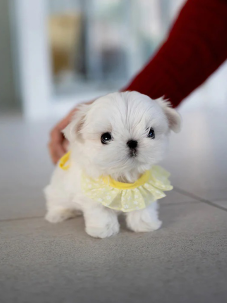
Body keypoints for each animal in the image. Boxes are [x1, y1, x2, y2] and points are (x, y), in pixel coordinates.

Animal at [44, 91, 181, 239]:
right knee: (56, 201)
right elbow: (101, 212)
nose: (132, 142)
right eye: (105, 137)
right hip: (59, 191)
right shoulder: (94, 196)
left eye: (151, 133)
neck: (124, 173)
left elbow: (143, 207)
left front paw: (145, 225)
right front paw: (104, 230)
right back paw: (59, 214)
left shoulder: (145, 189)